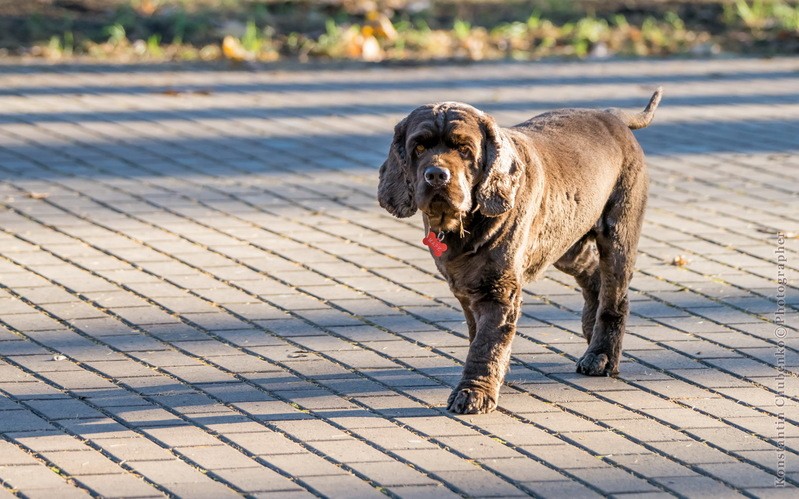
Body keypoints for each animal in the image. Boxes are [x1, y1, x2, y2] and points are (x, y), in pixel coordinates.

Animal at [378, 89, 664, 414]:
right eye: (419, 147)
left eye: (464, 149)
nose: (436, 175)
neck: (465, 223)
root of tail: (611, 115)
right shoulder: (467, 286)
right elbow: (478, 333)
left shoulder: (498, 288)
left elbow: (486, 342)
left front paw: (474, 392)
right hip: (564, 239)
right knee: (593, 275)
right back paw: (591, 329)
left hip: (618, 232)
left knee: (615, 297)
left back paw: (601, 355)